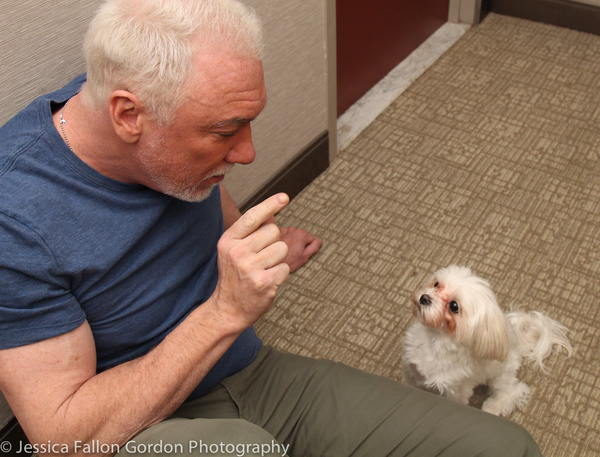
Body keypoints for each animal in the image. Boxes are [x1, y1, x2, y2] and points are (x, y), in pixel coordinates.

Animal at [400, 264, 576, 416]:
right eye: (436, 284)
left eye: (454, 306)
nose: (424, 298)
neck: (434, 341)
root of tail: (516, 339)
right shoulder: (410, 369)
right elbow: (409, 383)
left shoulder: (454, 391)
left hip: (501, 374)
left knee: (513, 391)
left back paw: (493, 407)